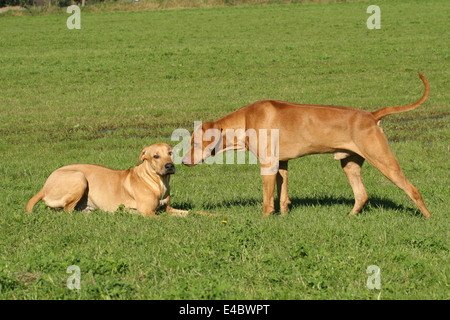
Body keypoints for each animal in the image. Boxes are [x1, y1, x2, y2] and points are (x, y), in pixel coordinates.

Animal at [25, 143, 186, 216]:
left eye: (170, 153)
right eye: (155, 156)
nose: (169, 166)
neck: (158, 182)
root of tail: (44, 187)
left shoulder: (168, 208)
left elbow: (188, 213)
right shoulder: (148, 212)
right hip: (79, 177)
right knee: (67, 210)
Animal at [183, 73, 432, 218]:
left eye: (195, 142)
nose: (183, 161)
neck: (244, 120)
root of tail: (371, 115)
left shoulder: (268, 164)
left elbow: (266, 200)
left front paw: (265, 219)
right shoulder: (281, 163)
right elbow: (283, 195)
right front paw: (284, 215)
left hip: (383, 160)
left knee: (413, 190)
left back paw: (427, 218)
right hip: (349, 163)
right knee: (362, 195)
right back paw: (350, 217)